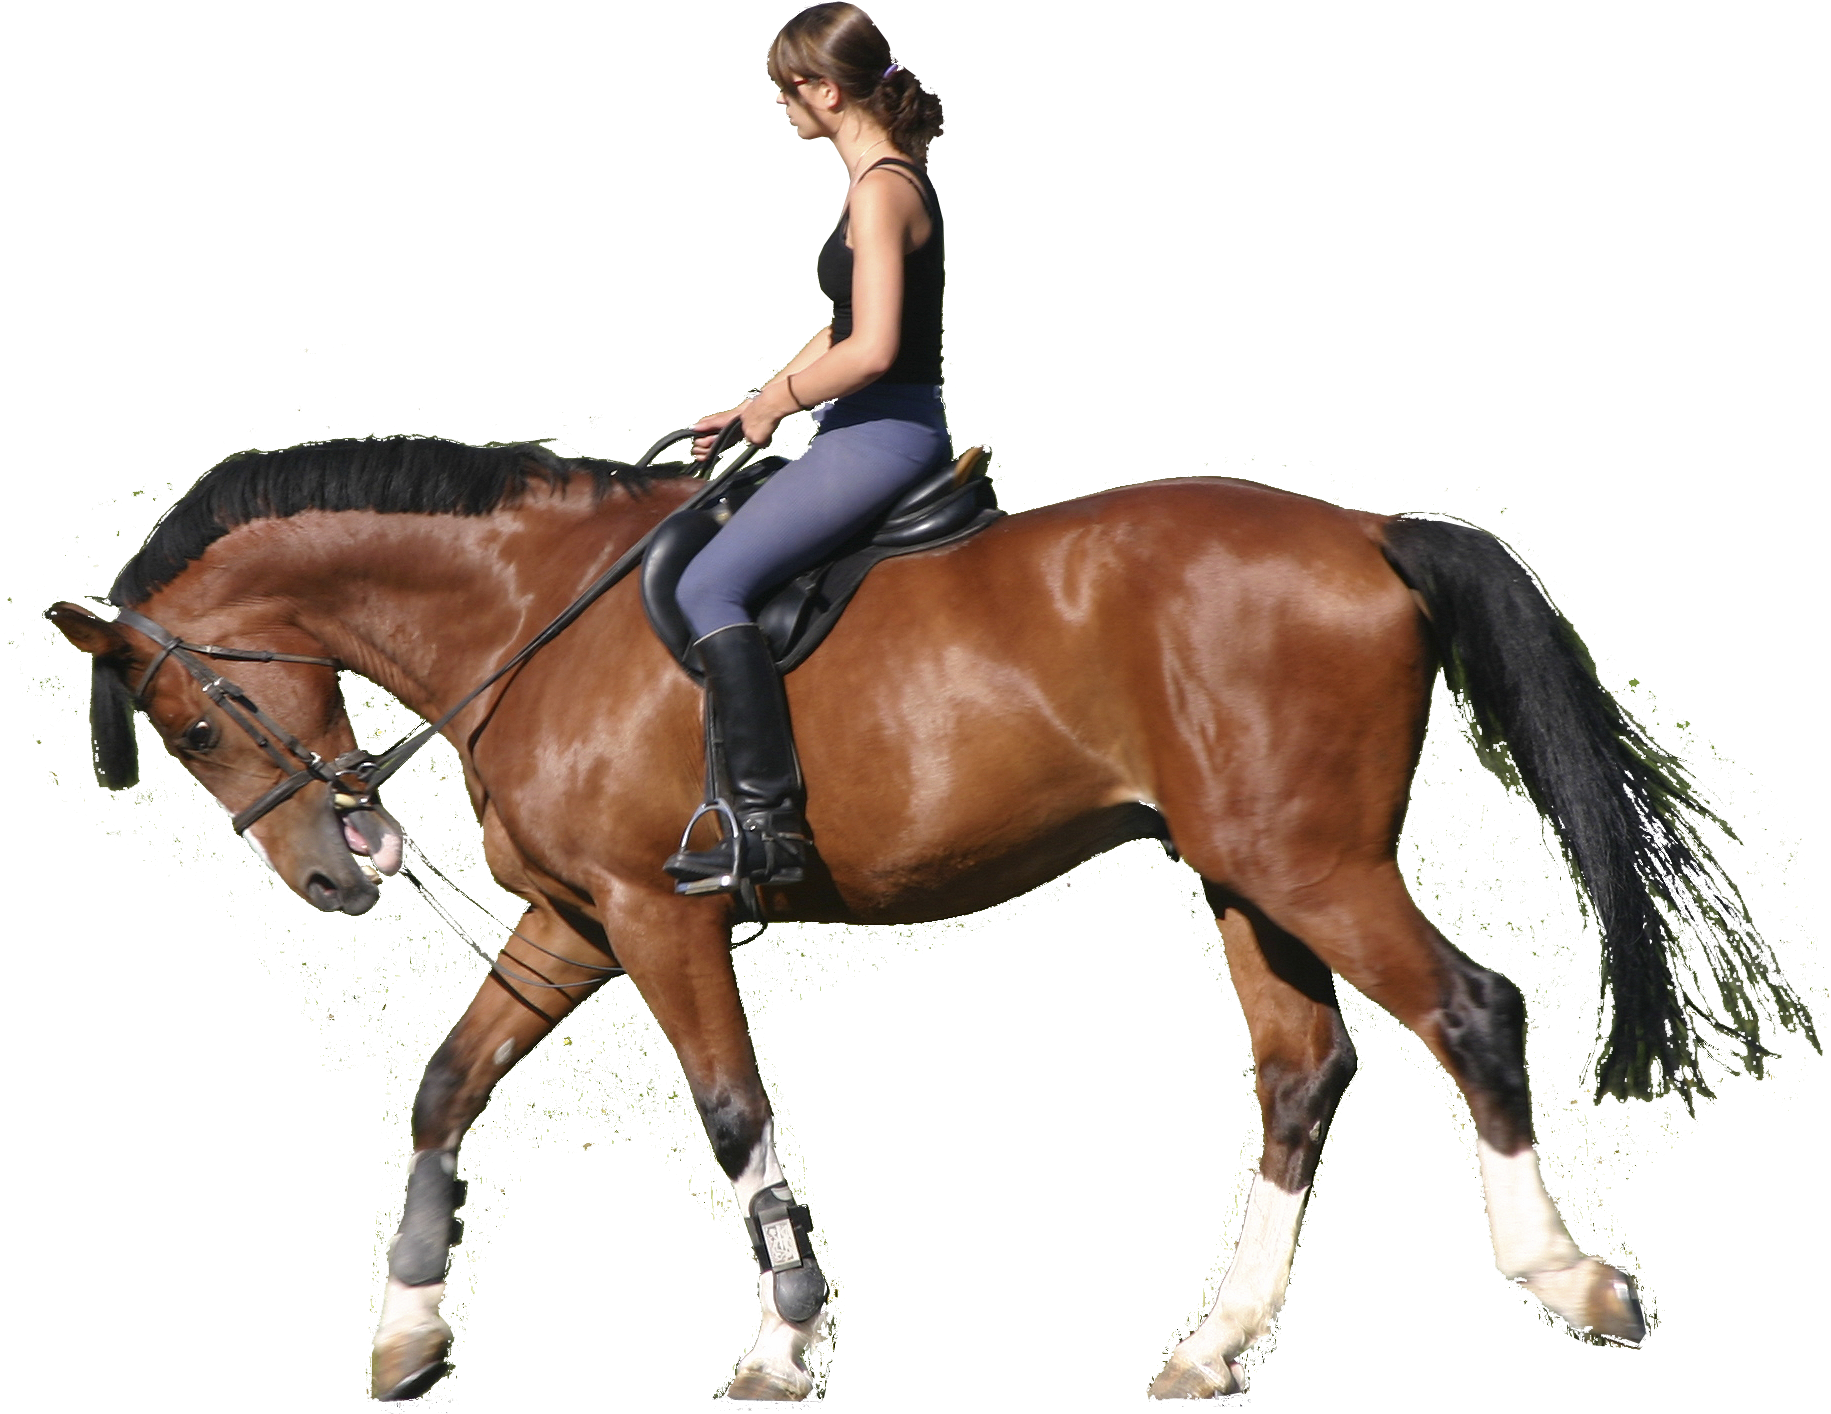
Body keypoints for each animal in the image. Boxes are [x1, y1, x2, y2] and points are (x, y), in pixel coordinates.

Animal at [45, 433, 1817, 1402]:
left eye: (194, 725)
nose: (337, 880)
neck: (527, 613)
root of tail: (1365, 533)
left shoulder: (655, 916)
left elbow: (727, 1106)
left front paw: (783, 1344)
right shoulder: (569, 921)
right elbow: (443, 1082)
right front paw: (407, 1327)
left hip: (1310, 865)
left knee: (1465, 1011)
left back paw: (1567, 1279)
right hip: (1244, 878)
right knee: (1301, 1072)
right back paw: (1212, 1341)